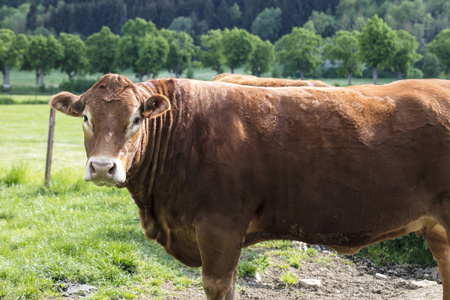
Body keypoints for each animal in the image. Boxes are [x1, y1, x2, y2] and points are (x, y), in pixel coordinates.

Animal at [51, 73, 450, 300]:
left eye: (136, 118)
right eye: (85, 117)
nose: (103, 167)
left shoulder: (219, 228)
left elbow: (219, 287)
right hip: (438, 229)